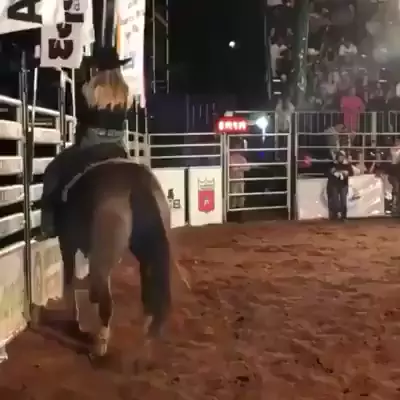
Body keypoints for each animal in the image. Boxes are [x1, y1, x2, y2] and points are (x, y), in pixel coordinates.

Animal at [38, 158, 186, 360]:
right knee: (149, 287)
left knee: (104, 297)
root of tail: (136, 181)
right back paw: (147, 334)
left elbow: (70, 280)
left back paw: (99, 344)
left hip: (102, 254)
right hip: (149, 250)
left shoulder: (67, 244)